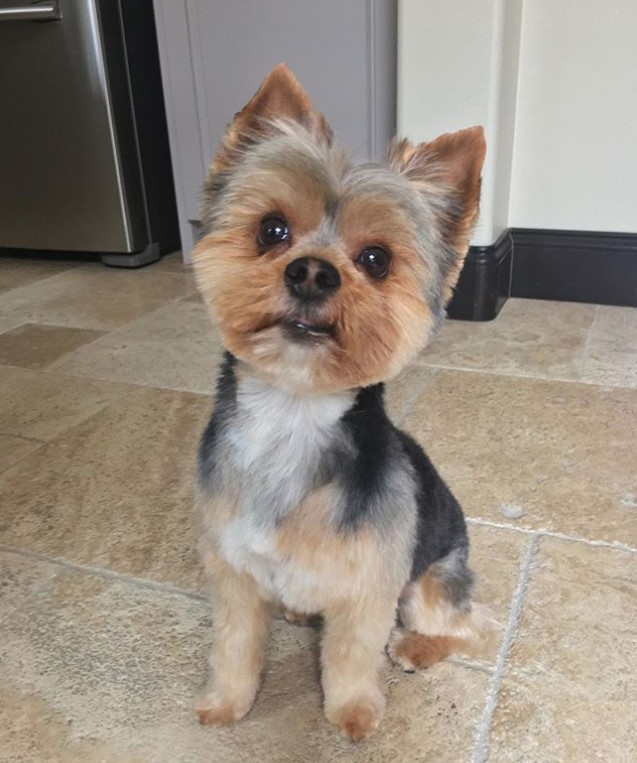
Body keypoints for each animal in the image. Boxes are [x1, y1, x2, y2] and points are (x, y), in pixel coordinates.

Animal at [189, 62, 486, 744]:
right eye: (271, 230)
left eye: (376, 259)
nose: (311, 273)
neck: (292, 413)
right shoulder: (234, 571)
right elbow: (234, 645)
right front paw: (226, 702)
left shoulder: (369, 587)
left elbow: (352, 656)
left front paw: (351, 713)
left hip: (433, 578)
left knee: (467, 627)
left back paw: (417, 647)